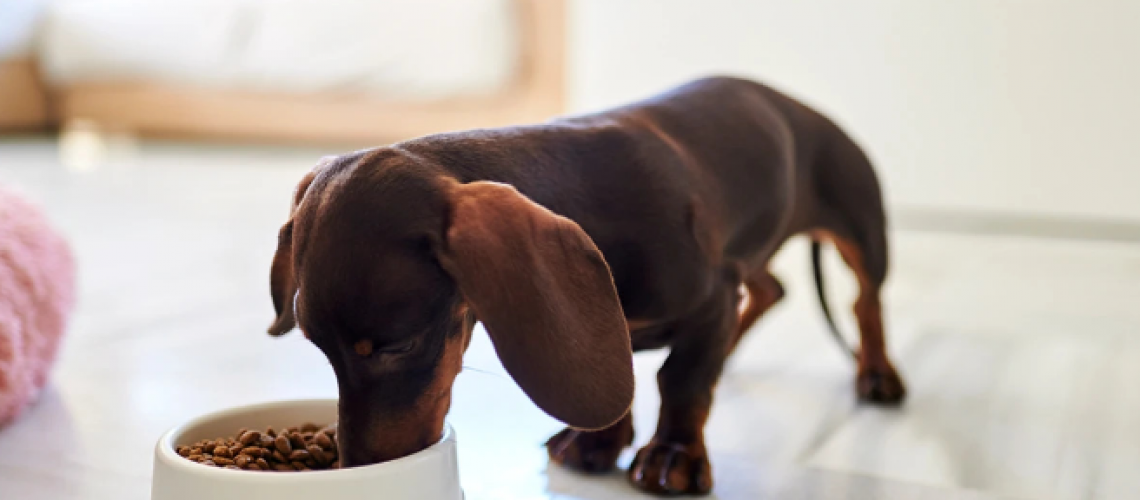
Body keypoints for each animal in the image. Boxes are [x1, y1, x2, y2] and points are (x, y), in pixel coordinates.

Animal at [264, 78, 898, 496]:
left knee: (865, 300)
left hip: (860, 229)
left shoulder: (712, 294)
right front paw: (598, 440)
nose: (355, 467)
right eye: (320, 349)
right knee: (773, 288)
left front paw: (673, 455)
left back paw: (878, 374)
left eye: (397, 345)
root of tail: (800, 106)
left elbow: (683, 381)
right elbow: (622, 374)